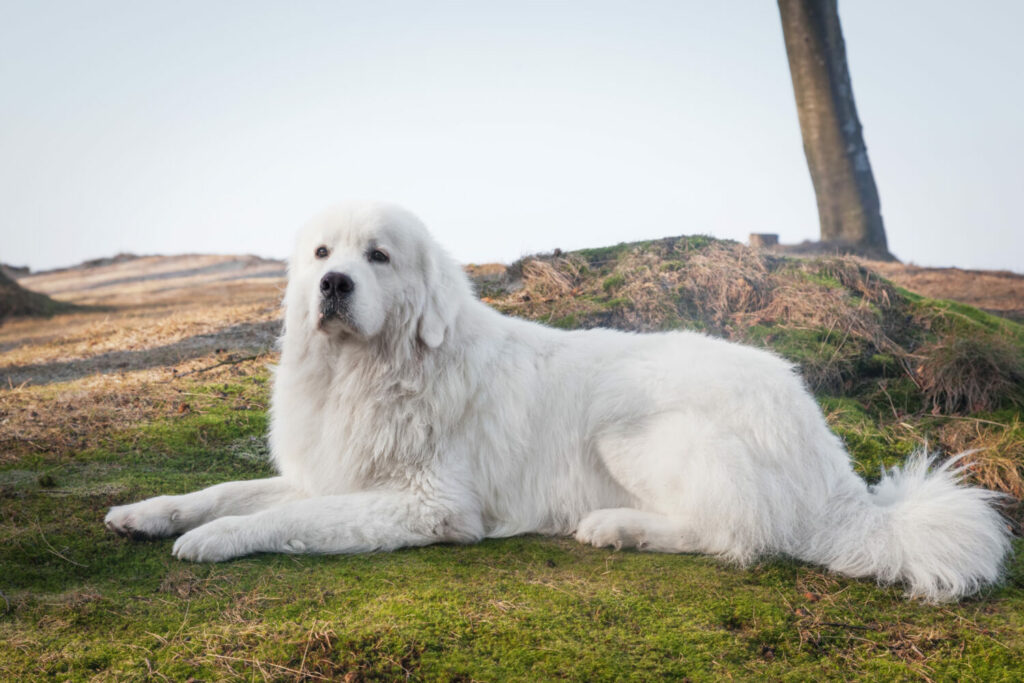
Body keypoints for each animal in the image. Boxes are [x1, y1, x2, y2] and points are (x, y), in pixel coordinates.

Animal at [105, 200, 1007, 602]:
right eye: (322, 254)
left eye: (379, 256)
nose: (333, 286)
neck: (372, 372)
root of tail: (836, 468)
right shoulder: (329, 472)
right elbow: (223, 489)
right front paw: (148, 513)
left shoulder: (426, 504)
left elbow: (284, 517)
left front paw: (215, 540)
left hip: (631, 434)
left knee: (738, 535)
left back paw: (616, 527)